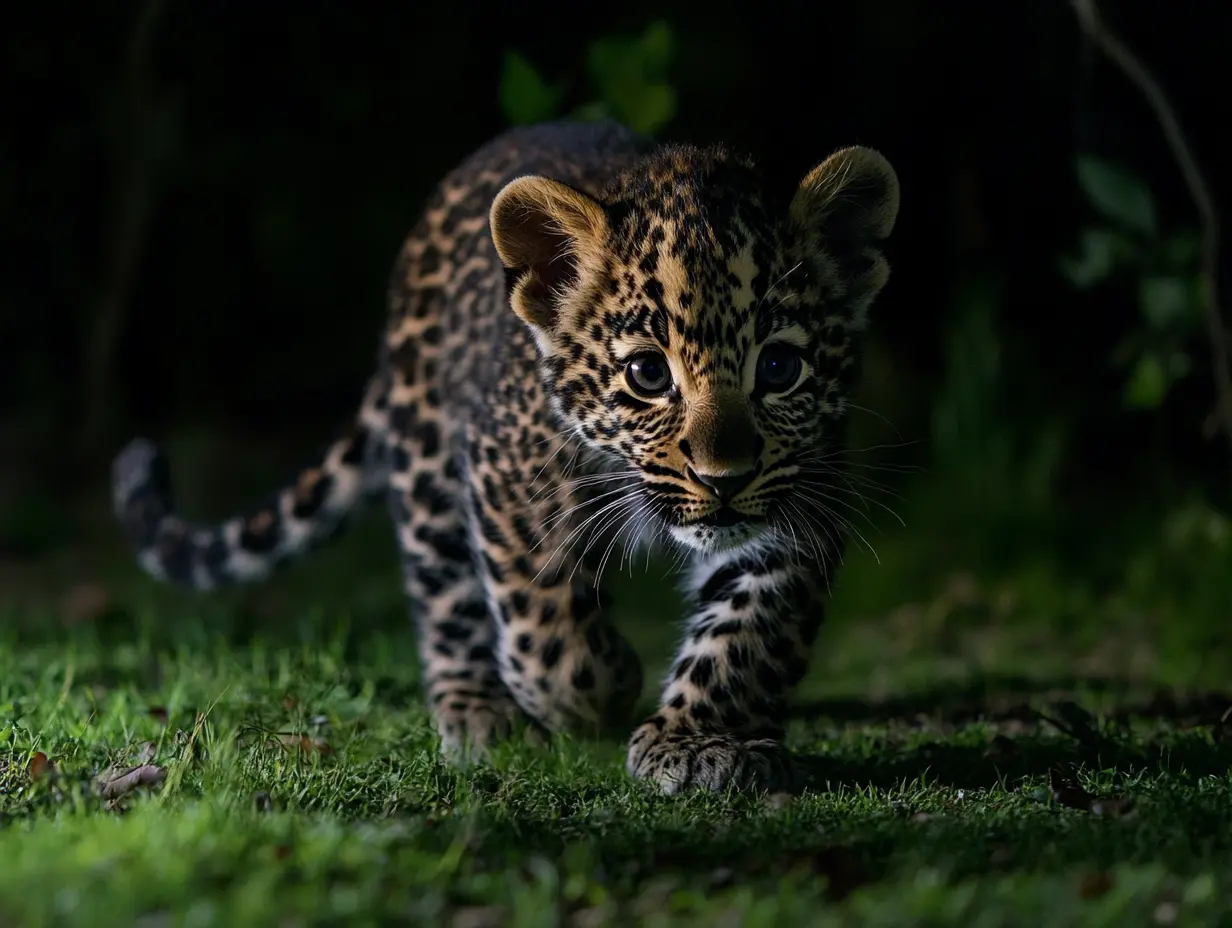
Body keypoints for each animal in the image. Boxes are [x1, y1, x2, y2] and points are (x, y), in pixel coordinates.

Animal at [111, 119, 899, 796]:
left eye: (780, 369)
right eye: (647, 374)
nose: (723, 481)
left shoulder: (801, 494)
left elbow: (748, 631)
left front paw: (703, 742)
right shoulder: (506, 474)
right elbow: (543, 622)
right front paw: (602, 691)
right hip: (428, 457)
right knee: (444, 592)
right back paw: (477, 709)